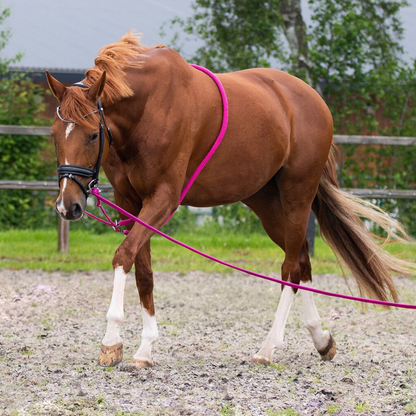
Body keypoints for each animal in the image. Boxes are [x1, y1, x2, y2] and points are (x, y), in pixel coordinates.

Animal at [46, 34, 412, 368]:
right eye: (53, 135)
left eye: (93, 134)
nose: (68, 206)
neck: (147, 110)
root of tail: (312, 99)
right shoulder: (131, 202)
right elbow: (143, 271)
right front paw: (144, 348)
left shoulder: (162, 199)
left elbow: (124, 256)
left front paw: (111, 341)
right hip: (267, 204)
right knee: (302, 262)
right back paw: (321, 340)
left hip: (297, 197)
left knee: (291, 267)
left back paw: (268, 348)